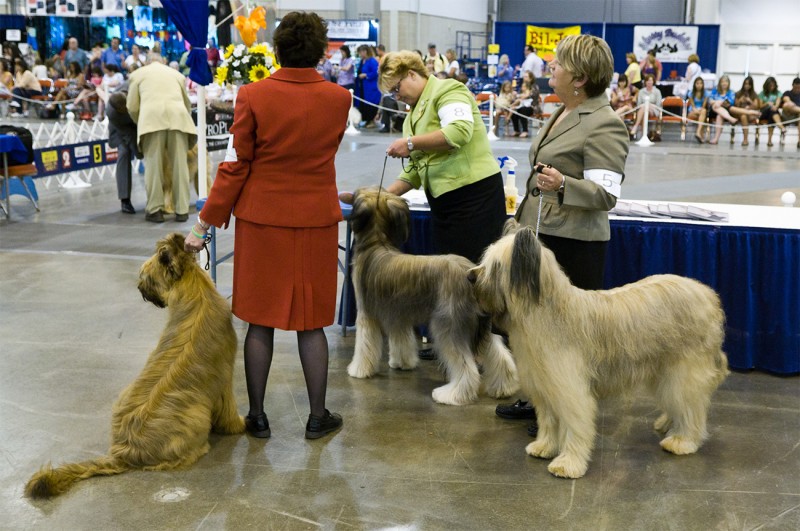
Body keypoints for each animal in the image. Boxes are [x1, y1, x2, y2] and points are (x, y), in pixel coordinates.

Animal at [25, 233, 244, 498]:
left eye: (146, 277)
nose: (139, 289)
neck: (195, 293)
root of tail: (124, 452)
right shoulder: (224, 379)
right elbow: (229, 411)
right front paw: (240, 425)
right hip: (196, 417)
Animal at [344, 189, 520, 406]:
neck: (377, 243)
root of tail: (474, 275)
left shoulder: (366, 314)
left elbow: (364, 345)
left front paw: (358, 370)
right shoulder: (398, 315)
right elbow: (402, 340)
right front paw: (402, 363)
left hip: (448, 326)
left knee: (466, 368)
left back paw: (452, 395)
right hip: (482, 326)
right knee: (501, 356)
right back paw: (504, 388)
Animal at [468, 227, 732, 480]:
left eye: (496, 266)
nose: (470, 276)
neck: (544, 313)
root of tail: (708, 294)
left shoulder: (570, 390)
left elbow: (575, 425)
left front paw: (568, 463)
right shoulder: (545, 387)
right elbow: (548, 422)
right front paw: (544, 446)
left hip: (684, 369)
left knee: (690, 406)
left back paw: (683, 440)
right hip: (663, 370)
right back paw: (667, 423)